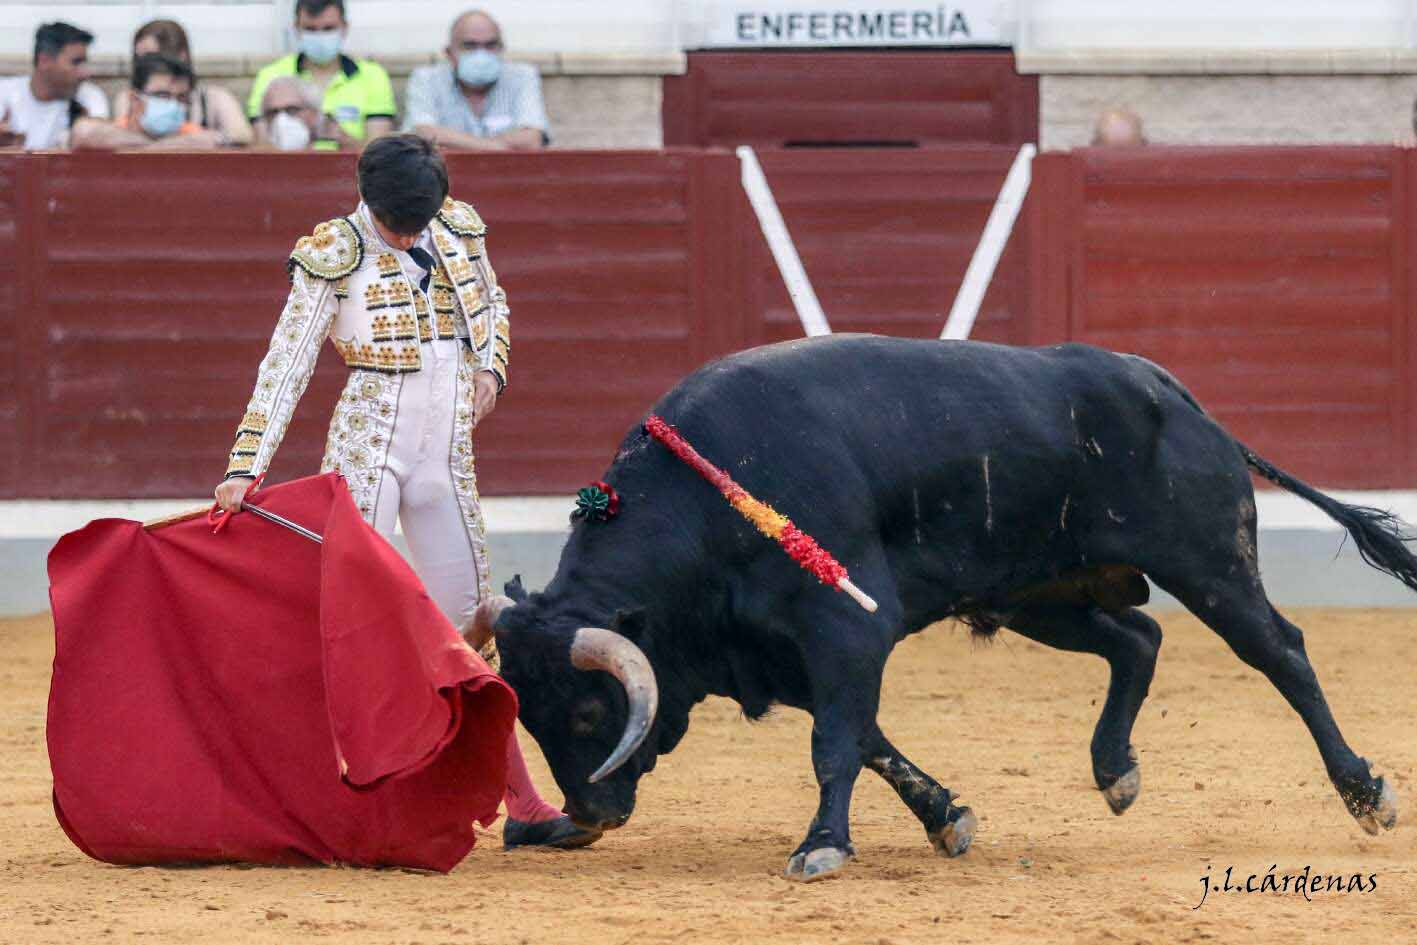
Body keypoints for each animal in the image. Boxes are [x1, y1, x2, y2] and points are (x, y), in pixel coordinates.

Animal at [484, 335, 1405, 884]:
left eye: (592, 710)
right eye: (528, 716)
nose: (585, 816)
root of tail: (1170, 392)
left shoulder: (846, 628)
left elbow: (836, 741)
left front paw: (820, 845)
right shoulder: (784, 650)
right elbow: (869, 738)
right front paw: (946, 817)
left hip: (1208, 561)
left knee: (1280, 653)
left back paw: (1364, 793)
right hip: (1041, 593)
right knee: (1137, 637)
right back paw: (1114, 770)